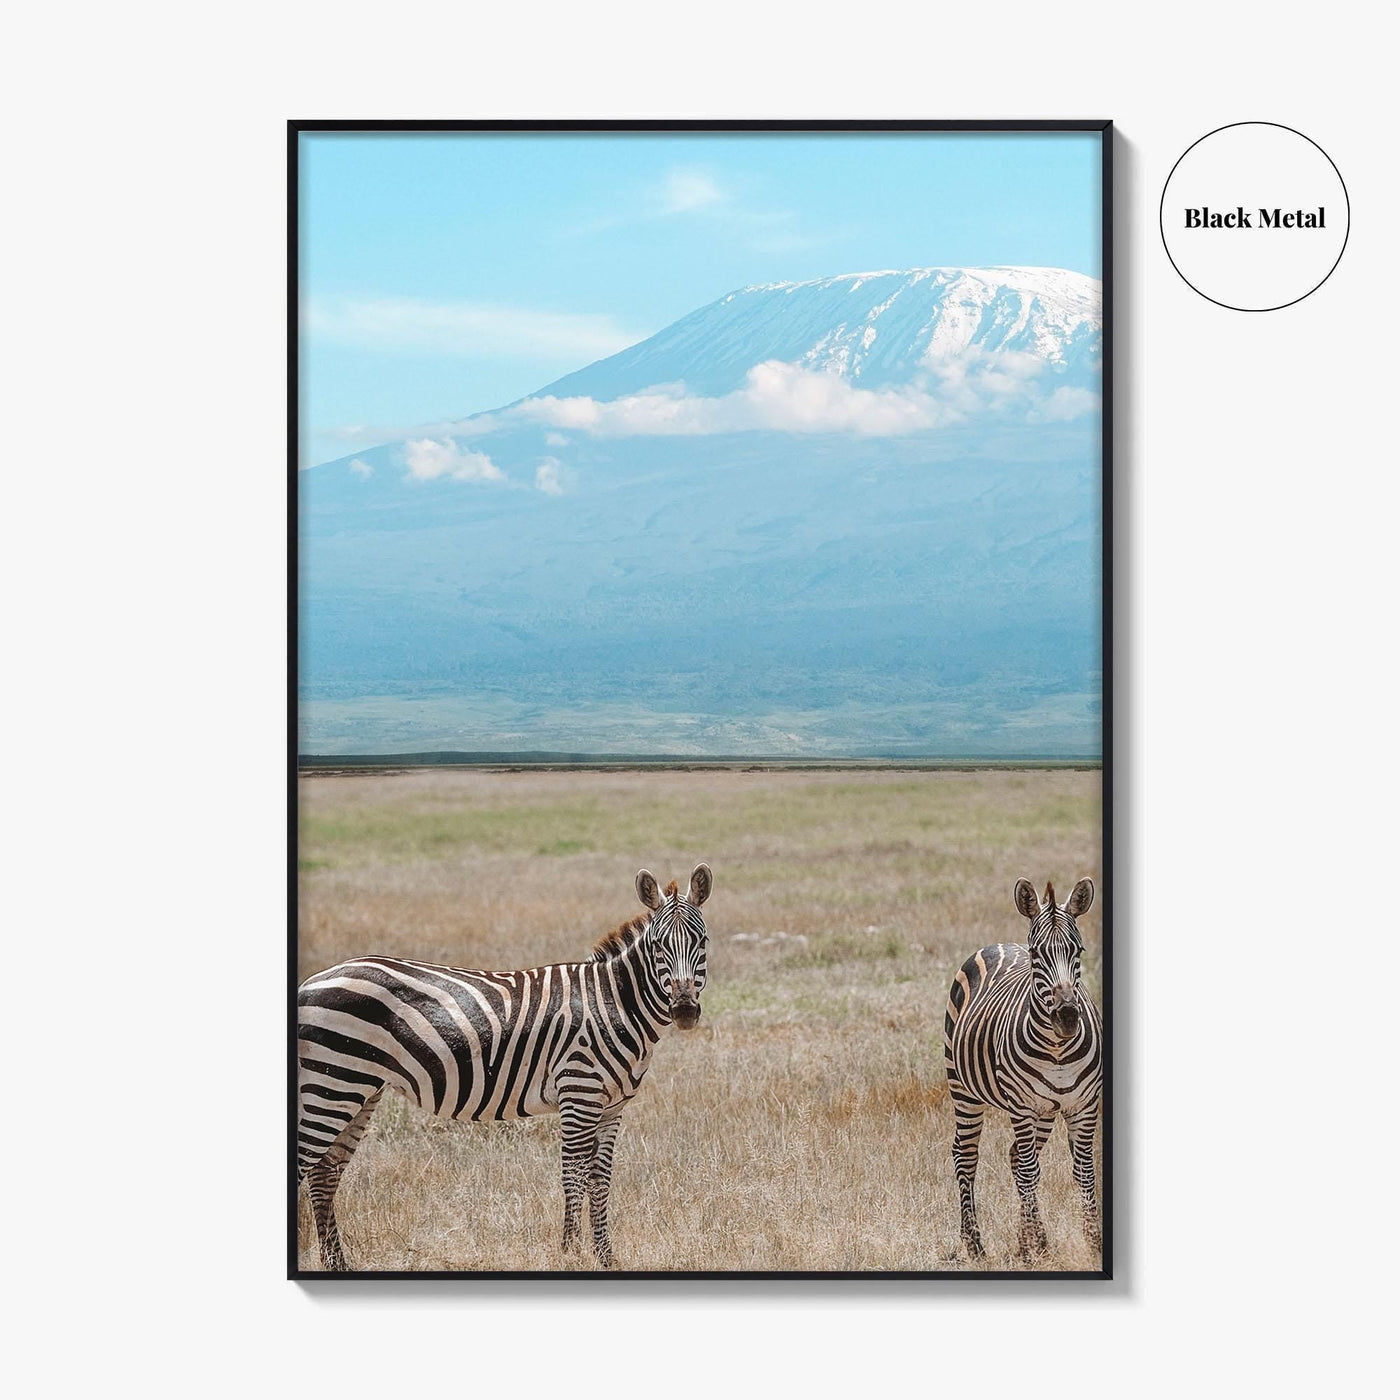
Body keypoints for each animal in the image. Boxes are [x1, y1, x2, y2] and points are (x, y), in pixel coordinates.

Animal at [296, 862, 713, 1271]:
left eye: (703, 942)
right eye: (658, 946)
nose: (684, 1011)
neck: (612, 1003)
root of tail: (312, 981)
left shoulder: (611, 1107)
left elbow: (600, 1180)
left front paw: (605, 1257)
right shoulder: (578, 1093)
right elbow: (573, 1177)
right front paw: (570, 1256)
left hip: (357, 1088)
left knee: (324, 1173)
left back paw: (337, 1264)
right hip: (332, 1084)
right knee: (308, 1166)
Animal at [943, 877, 1103, 1262]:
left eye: (1079, 951)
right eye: (1036, 954)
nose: (1067, 1017)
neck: (1058, 1049)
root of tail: (999, 943)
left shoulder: (1084, 1105)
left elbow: (1084, 1170)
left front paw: (1092, 1243)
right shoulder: (1021, 1106)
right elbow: (1031, 1171)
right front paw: (1034, 1246)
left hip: (1046, 1111)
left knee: (1016, 1157)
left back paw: (1026, 1240)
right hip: (963, 1089)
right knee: (967, 1156)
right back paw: (975, 1245)